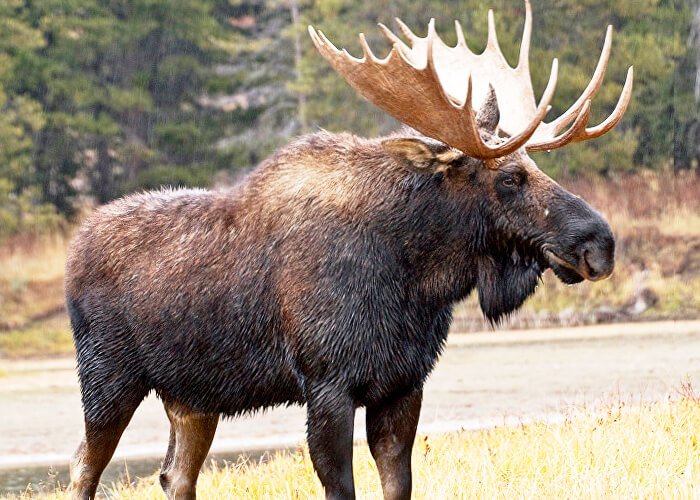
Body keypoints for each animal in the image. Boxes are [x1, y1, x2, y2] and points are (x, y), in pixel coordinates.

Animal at [66, 2, 632, 499]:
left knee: (174, 475)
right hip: (108, 379)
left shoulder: (403, 384)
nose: (599, 244)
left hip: (191, 397)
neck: (413, 277)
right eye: (510, 178)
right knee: (84, 467)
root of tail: (74, 249)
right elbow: (342, 486)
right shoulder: (327, 384)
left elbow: (398, 484)